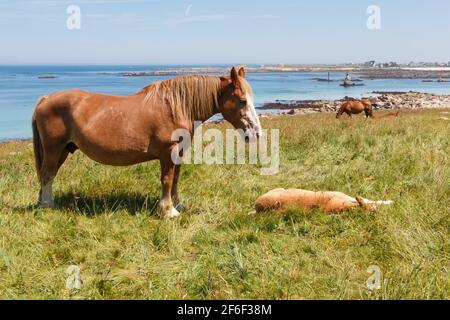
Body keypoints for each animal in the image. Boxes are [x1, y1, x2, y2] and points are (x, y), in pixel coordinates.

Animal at [31, 66, 262, 219]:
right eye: (242, 100)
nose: (257, 133)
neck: (176, 106)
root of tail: (46, 98)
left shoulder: (178, 153)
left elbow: (176, 179)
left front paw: (178, 206)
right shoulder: (168, 152)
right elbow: (167, 180)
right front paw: (168, 211)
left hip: (64, 149)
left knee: (47, 175)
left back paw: (43, 202)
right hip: (53, 148)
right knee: (47, 174)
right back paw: (47, 205)